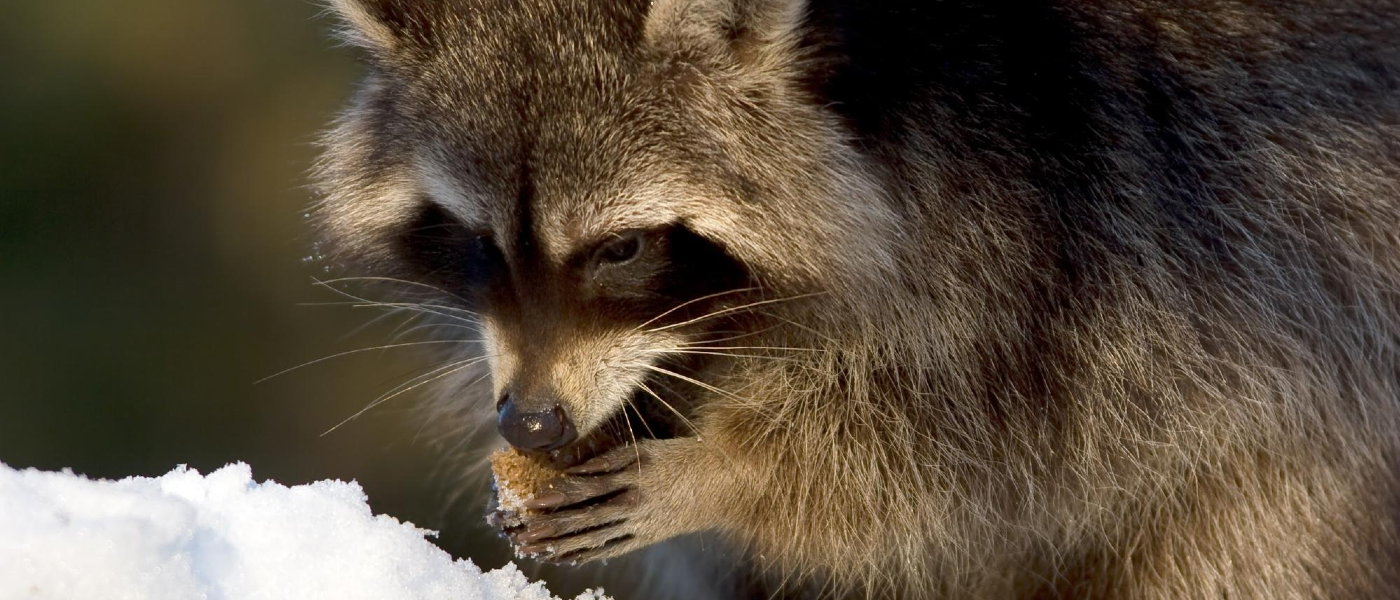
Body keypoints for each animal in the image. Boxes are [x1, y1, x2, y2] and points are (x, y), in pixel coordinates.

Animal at [312, 0, 1400, 595]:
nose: (532, 424)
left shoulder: (1087, 212)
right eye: (476, 242)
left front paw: (725, 474)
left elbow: (977, 455)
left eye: (621, 247)